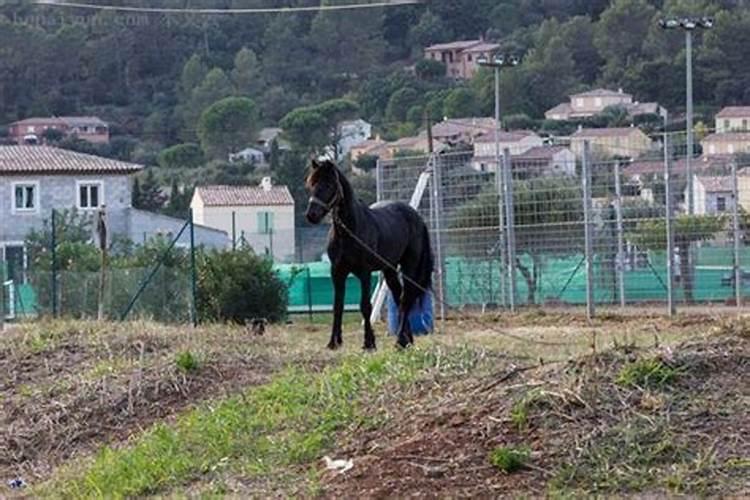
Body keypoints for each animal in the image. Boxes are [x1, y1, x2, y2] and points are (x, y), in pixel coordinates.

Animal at [306, 158, 434, 350]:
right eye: (312, 184)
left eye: (329, 184)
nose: (311, 215)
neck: (348, 231)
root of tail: (417, 217)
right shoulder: (337, 272)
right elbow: (338, 306)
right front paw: (334, 342)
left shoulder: (364, 273)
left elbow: (365, 306)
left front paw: (368, 343)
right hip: (389, 269)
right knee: (399, 298)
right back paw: (407, 340)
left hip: (409, 266)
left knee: (406, 299)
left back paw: (400, 341)